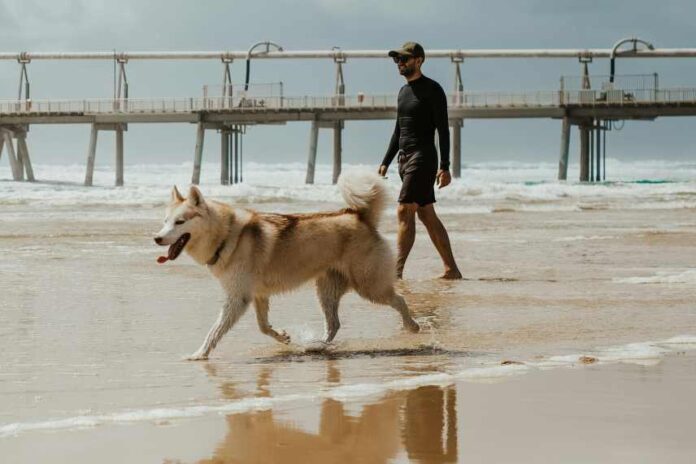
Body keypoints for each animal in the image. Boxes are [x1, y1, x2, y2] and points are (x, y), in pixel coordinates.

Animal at [154, 172, 418, 360]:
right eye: (165, 221)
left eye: (180, 222)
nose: (157, 238)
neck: (226, 236)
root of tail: (359, 215)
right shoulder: (258, 295)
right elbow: (263, 326)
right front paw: (283, 337)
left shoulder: (238, 297)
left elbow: (214, 330)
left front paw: (200, 354)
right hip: (327, 290)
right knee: (334, 323)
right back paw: (318, 346)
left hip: (368, 285)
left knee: (399, 300)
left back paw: (412, 327)